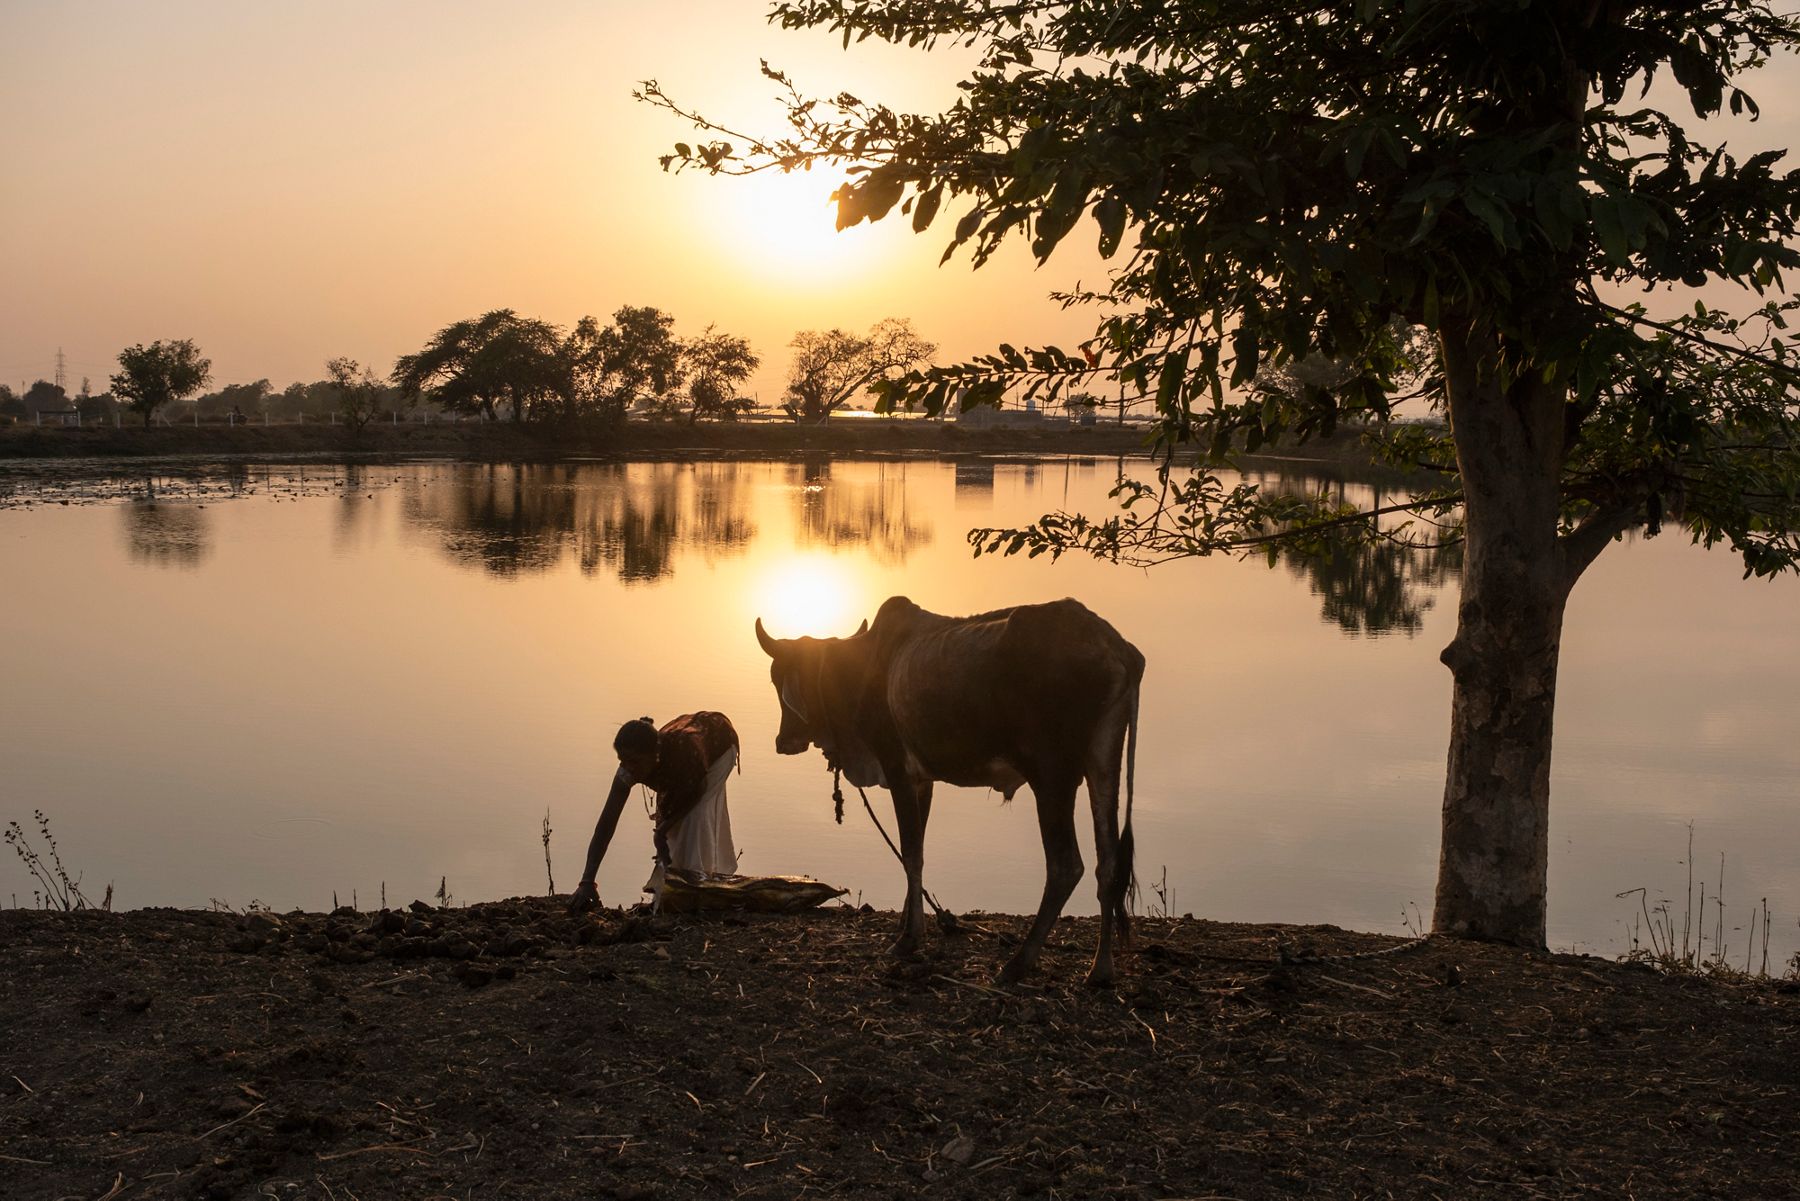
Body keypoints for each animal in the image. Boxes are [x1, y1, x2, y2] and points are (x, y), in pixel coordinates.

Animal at [754, 595, 1145, 985]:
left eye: (779, 680)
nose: (783, 741)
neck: (859, 668)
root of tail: (1116, 647)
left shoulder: (897, 769)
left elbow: (911, 852)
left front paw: (908, 939)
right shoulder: (922, 780)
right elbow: (916, 852)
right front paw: (907, 923)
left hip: (1051, 776)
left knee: (1066, 866)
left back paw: (1019, 962)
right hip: (1103, 762)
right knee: (1108, 862)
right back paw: (1100, 969)